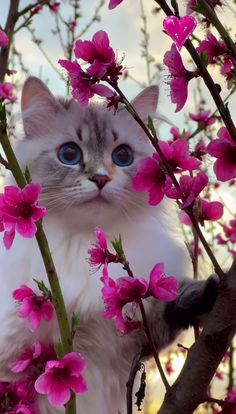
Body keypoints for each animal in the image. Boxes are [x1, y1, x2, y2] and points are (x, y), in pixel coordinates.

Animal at [0, 77, 218, 414]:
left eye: (123, 157)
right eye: (69, 154)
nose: (101, 178)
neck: (82, 242)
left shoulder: (134, 335)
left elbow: (175, 302)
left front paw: (211, 289)